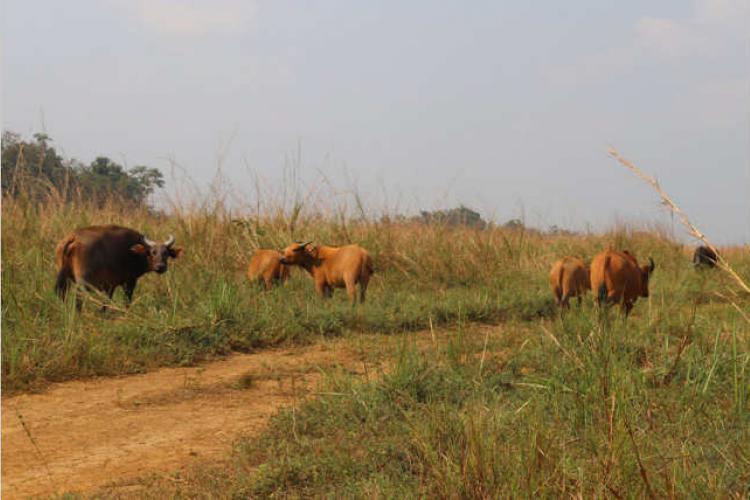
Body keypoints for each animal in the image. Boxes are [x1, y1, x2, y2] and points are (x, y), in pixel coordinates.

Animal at [54, 226, 184, 308]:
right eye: (153, 252)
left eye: (166, 253)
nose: (160, 266)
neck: (134, 253)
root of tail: (73, 237)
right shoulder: (130, 281)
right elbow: (127, 300)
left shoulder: (110, 285)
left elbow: (106, 302)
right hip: (83, 282)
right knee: (78, 297)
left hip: (64, 278)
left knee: (61, 294)